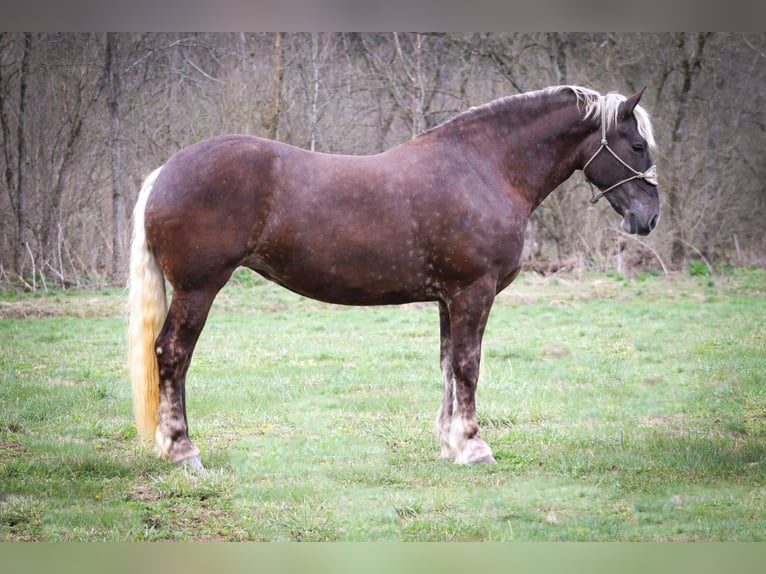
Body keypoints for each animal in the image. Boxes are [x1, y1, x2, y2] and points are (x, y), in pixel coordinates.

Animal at [126, 86, 660, 472]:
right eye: (636, 145)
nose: (649, 216)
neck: (485, 168)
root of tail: (165, 171)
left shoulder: (448, 298)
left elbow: (447, 366)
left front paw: (450, 444)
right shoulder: (474, 291)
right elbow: (468, 366)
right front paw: (475, 447)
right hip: (198, 288)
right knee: (172, 353)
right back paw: (183, 451)